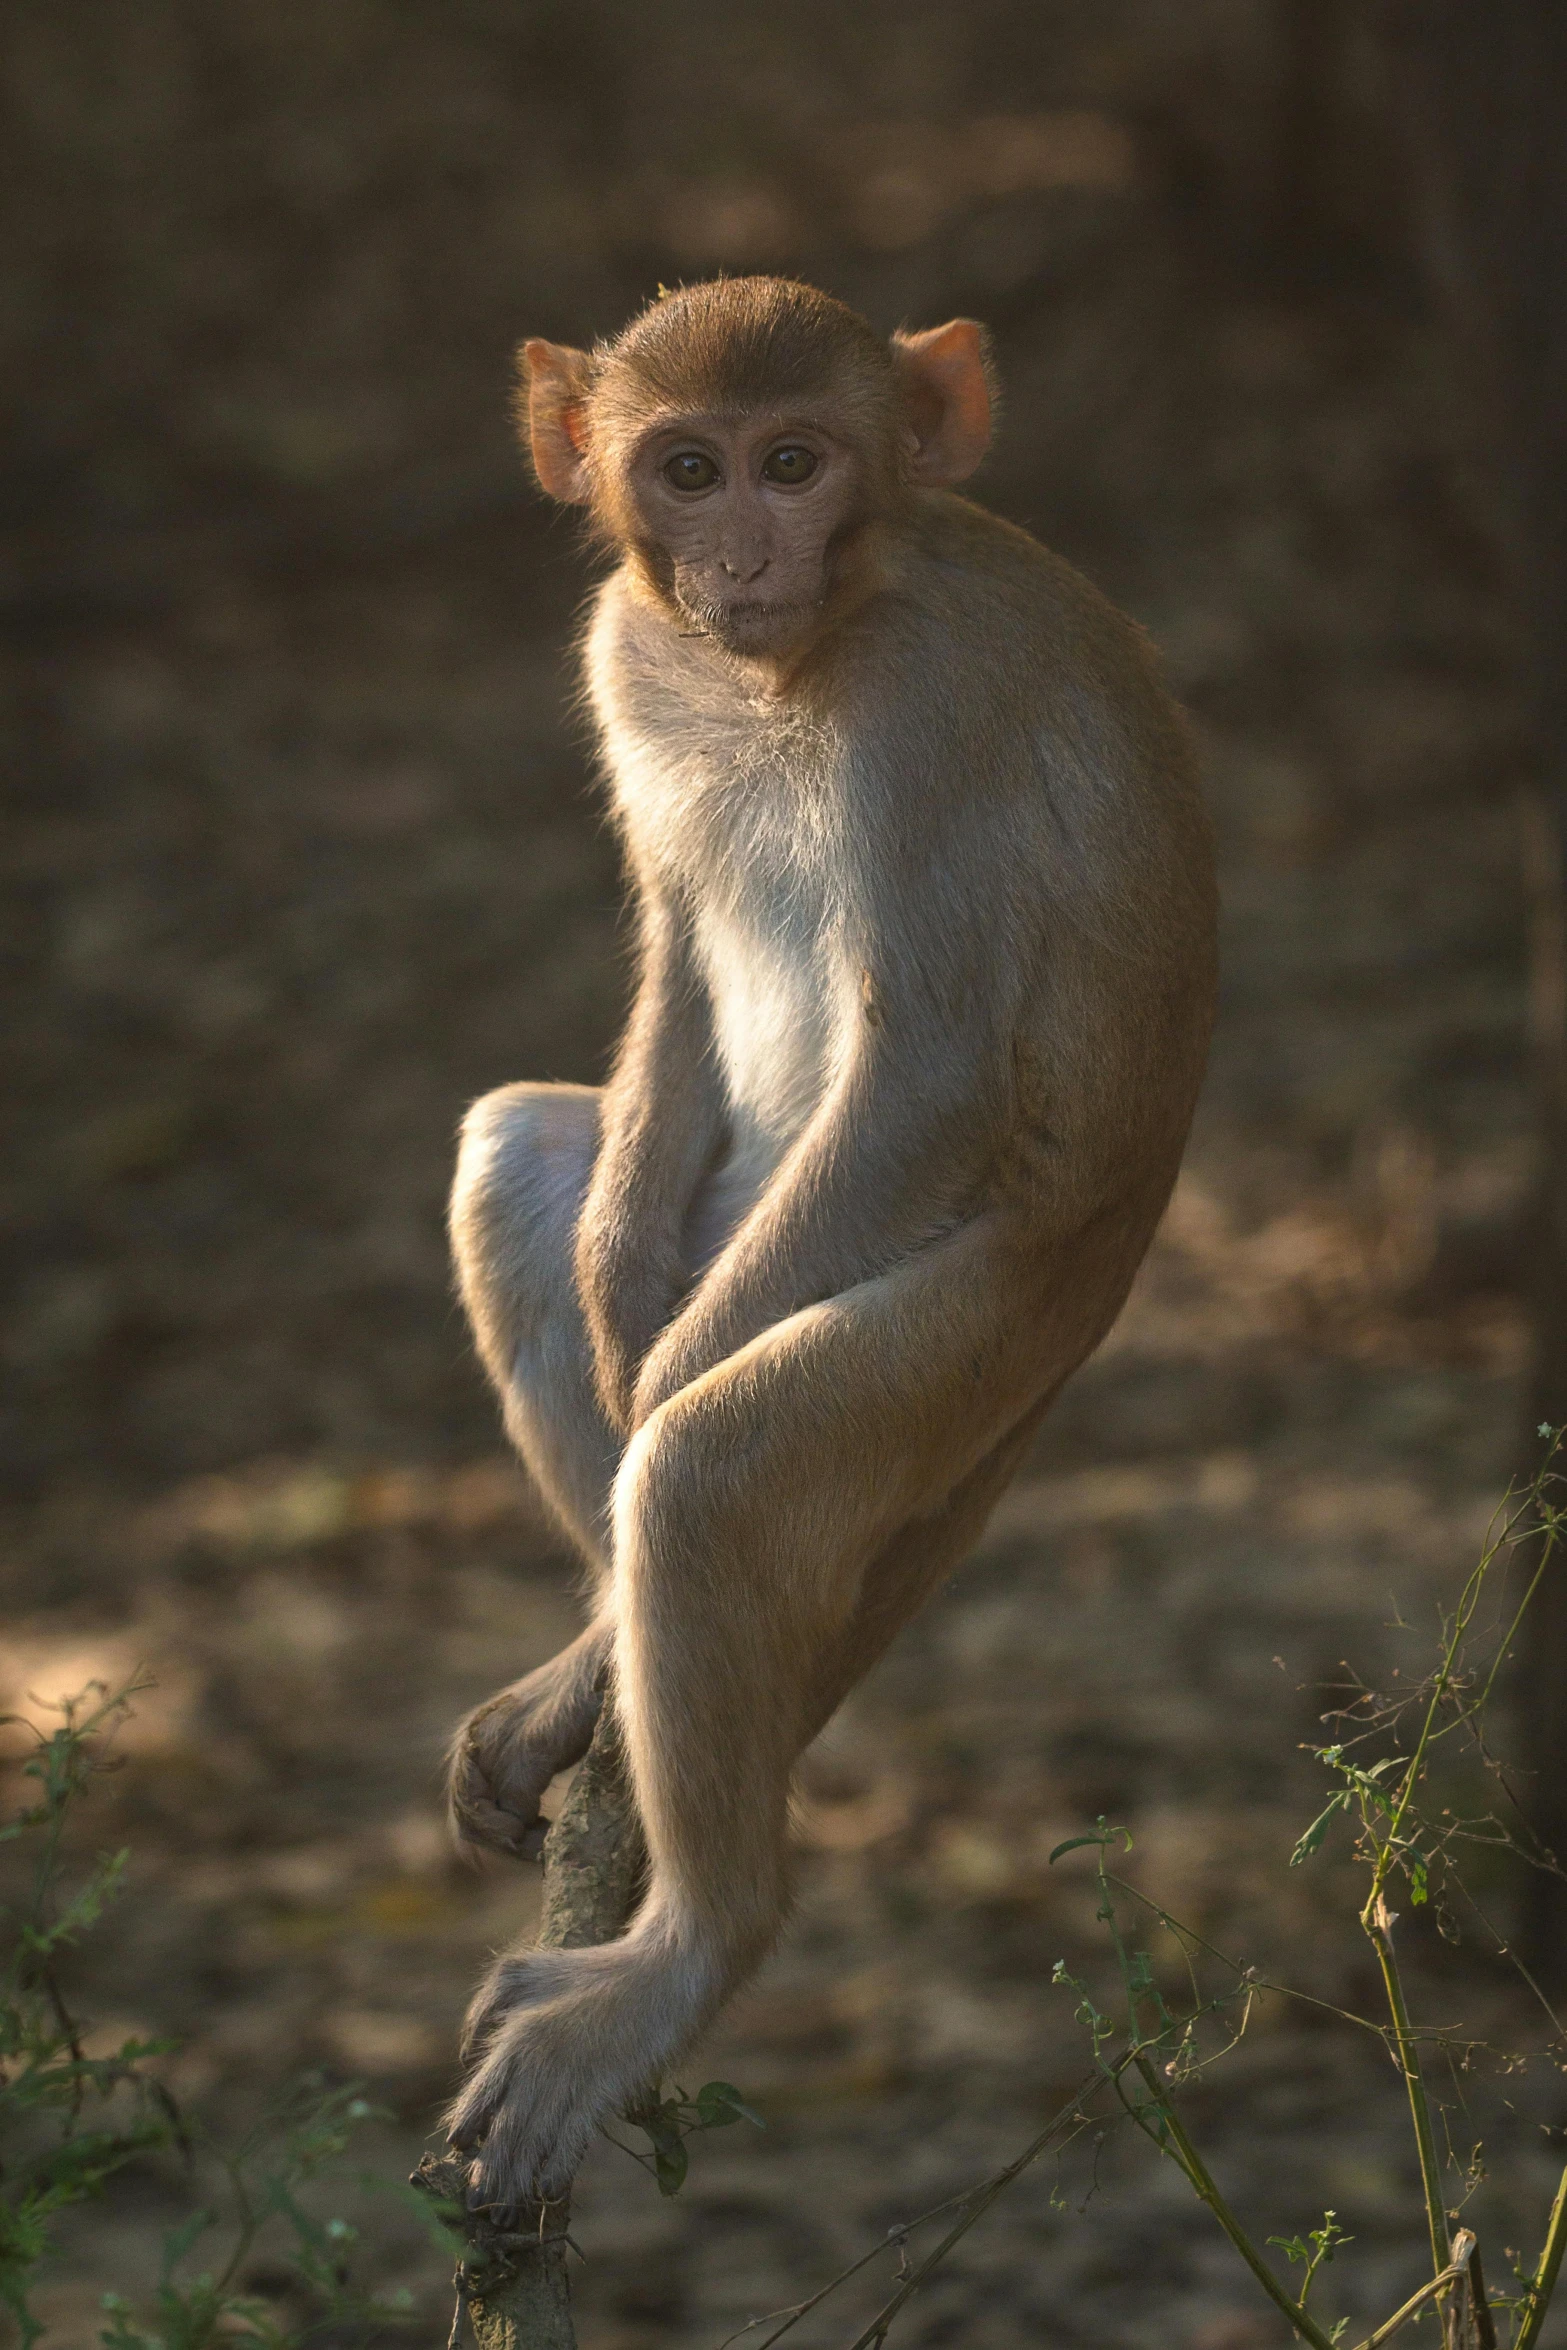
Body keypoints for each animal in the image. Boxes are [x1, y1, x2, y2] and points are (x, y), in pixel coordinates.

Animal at [441, 274, 1212, 2199]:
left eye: (794, 463)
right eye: (687, 468)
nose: (738, 557)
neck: (777, 670)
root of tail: (1101, 1295)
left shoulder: (923, 715)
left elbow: (927, 1056)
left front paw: (664, 1392)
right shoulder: (622, 652)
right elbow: (672, 945)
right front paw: (617, 1319)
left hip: (970, 1330)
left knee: (714, 1470)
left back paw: (689, 1947)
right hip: (762, 1224)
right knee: (515, 1155)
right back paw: (592, 1662)